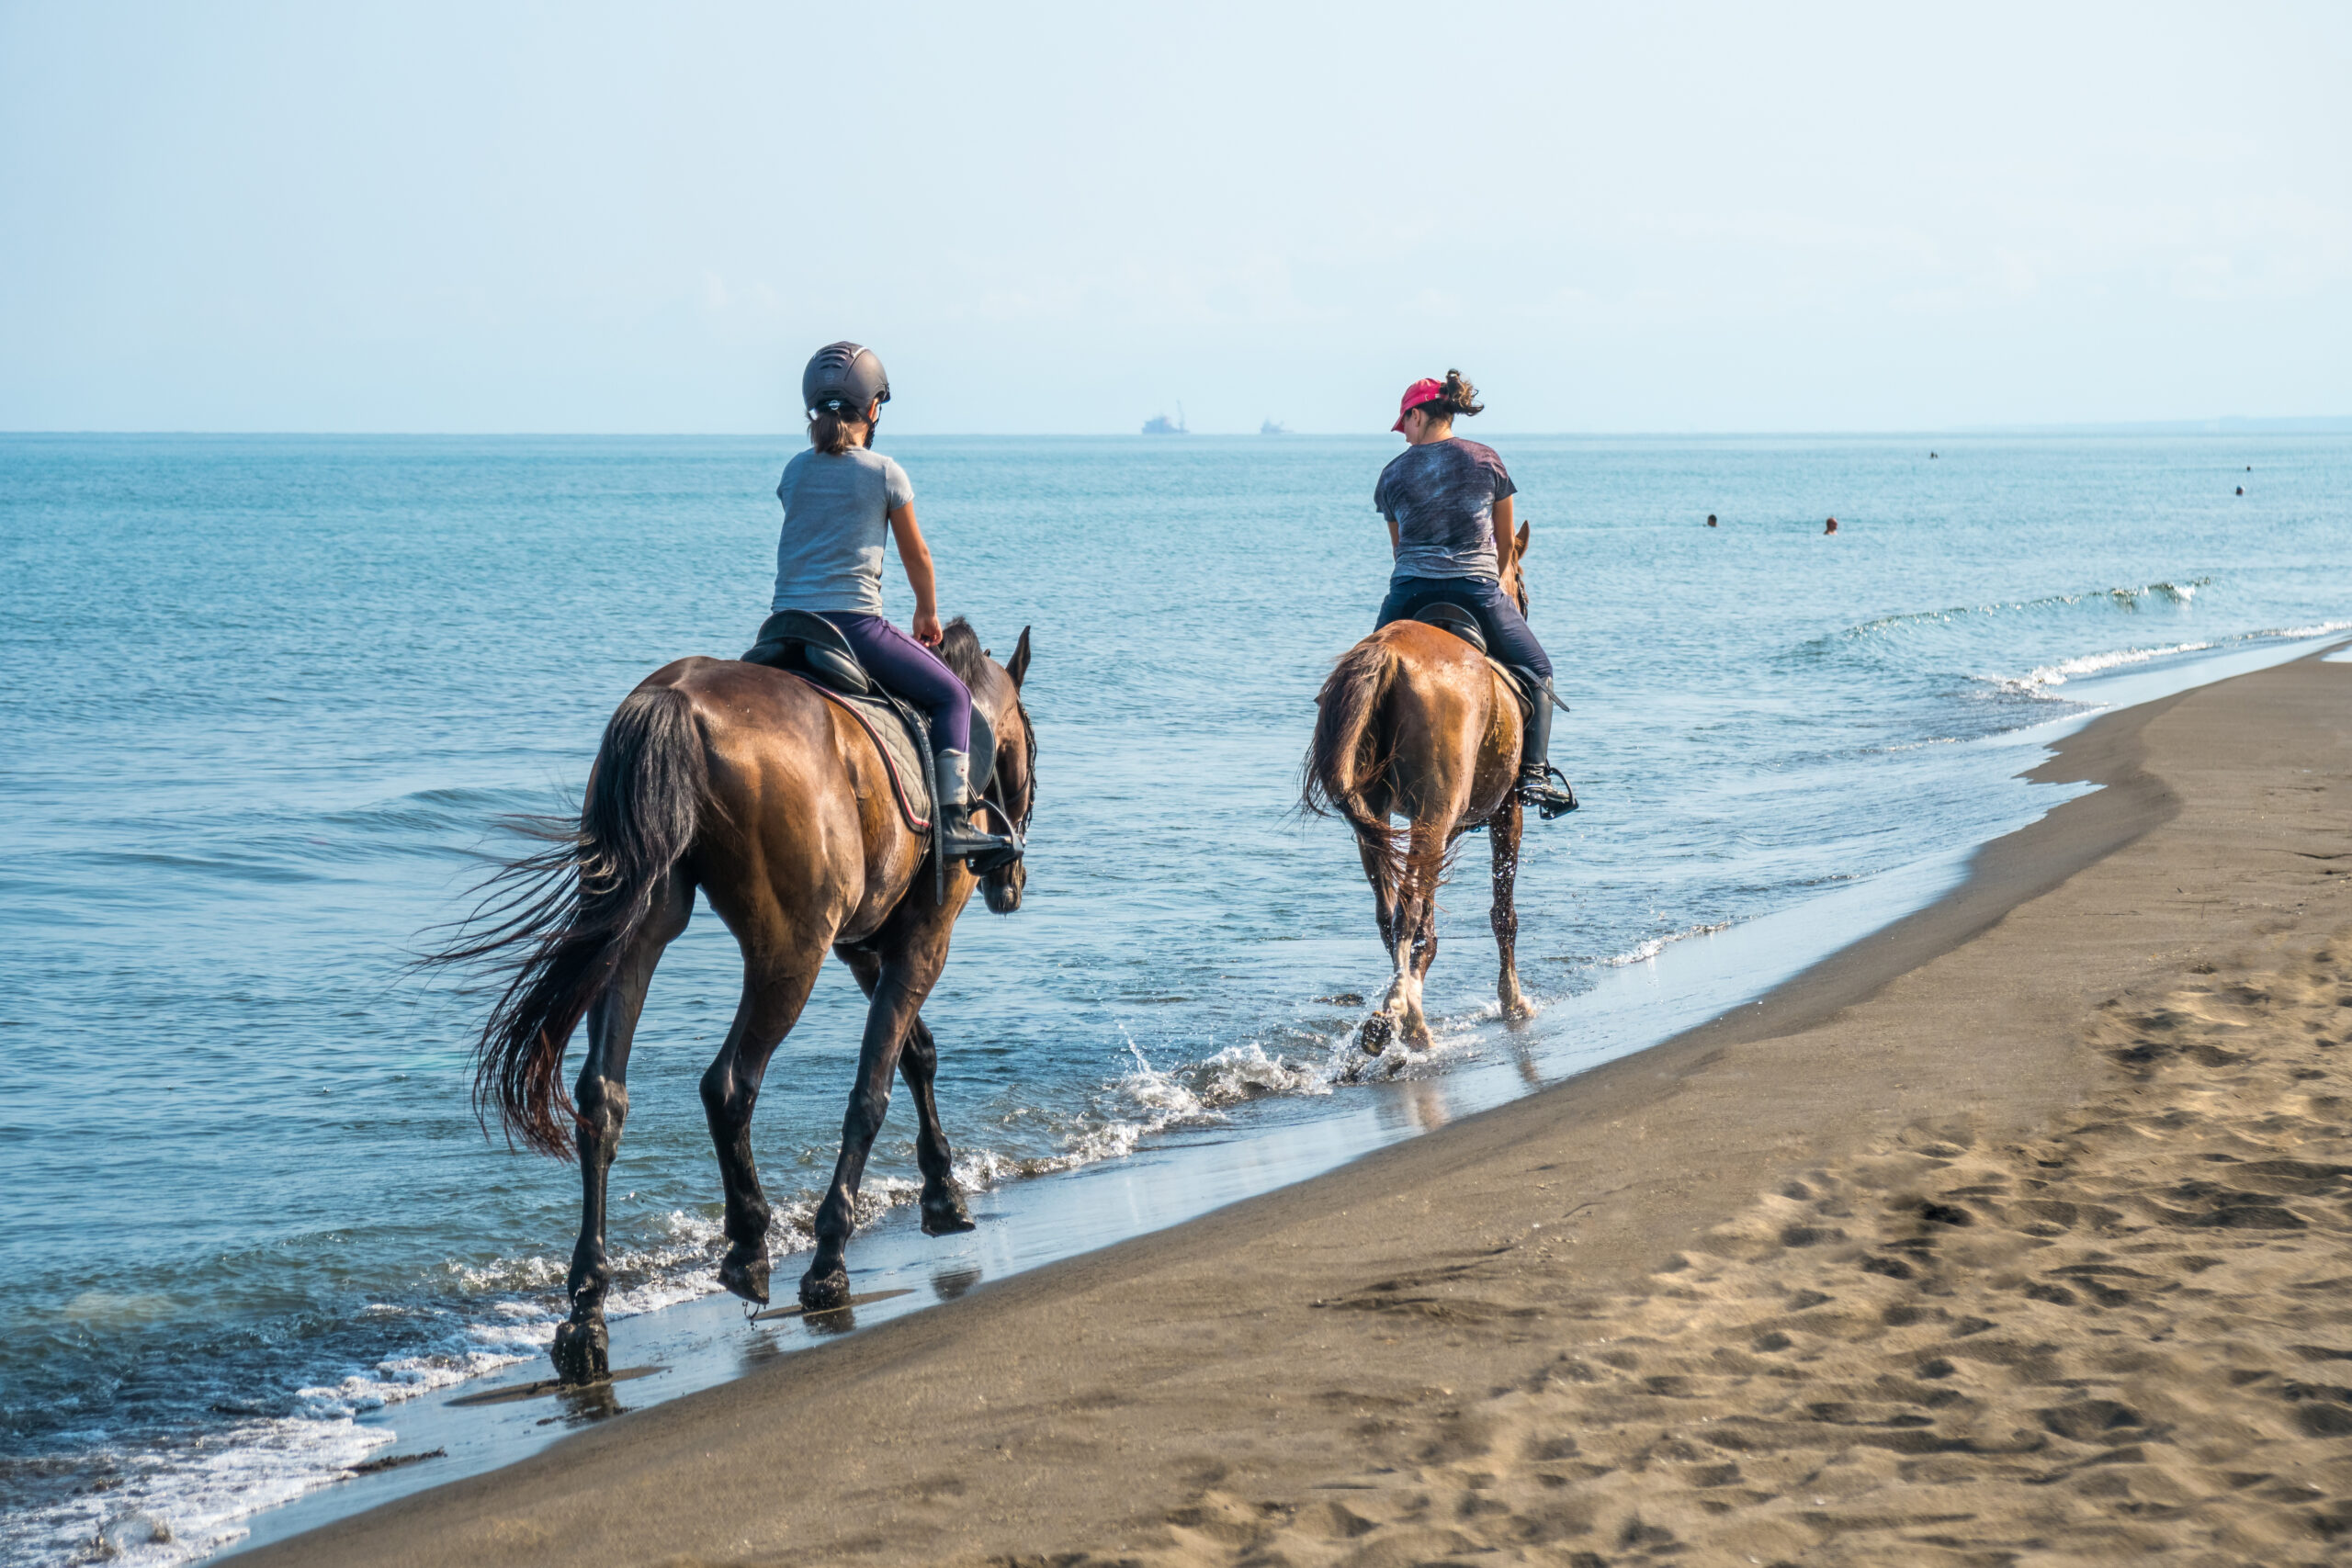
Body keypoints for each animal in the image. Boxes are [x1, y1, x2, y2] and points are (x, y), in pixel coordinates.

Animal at [437, 620, 1035, 1382]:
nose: (1010, 880)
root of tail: (675, 703)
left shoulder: (867, 948)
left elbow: (914, 1055)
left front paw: (942, 1189)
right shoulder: (923, 939)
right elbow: (872, 1088)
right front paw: (833, 1252)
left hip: (641, 919)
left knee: (602, 1099)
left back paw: (587, 1315)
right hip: (790, 949)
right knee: (730, 1083)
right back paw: (751, 1247)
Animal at [1307, 524, 1543, 1053]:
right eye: (1523, 585)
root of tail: (1387, 653)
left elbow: (1428, 930)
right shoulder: (1507, 809)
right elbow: (1503, 913)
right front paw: (1513, 1001)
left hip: (1380, 821)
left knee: (1390, 912)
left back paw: (1399, 1015)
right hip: (1434, 816)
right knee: (1408, 912)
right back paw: (1402, 1016)